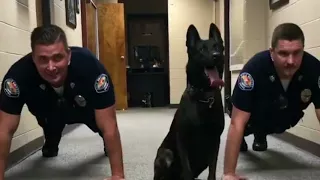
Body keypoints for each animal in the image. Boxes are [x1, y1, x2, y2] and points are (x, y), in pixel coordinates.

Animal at [154, 23, 225, 179]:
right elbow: (187, 171)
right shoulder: (183, 140)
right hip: (166, 154)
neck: (204, 96)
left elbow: (212, 171)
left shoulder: (215, 141)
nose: (216, 56)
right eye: (201, 50)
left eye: (217, 47)